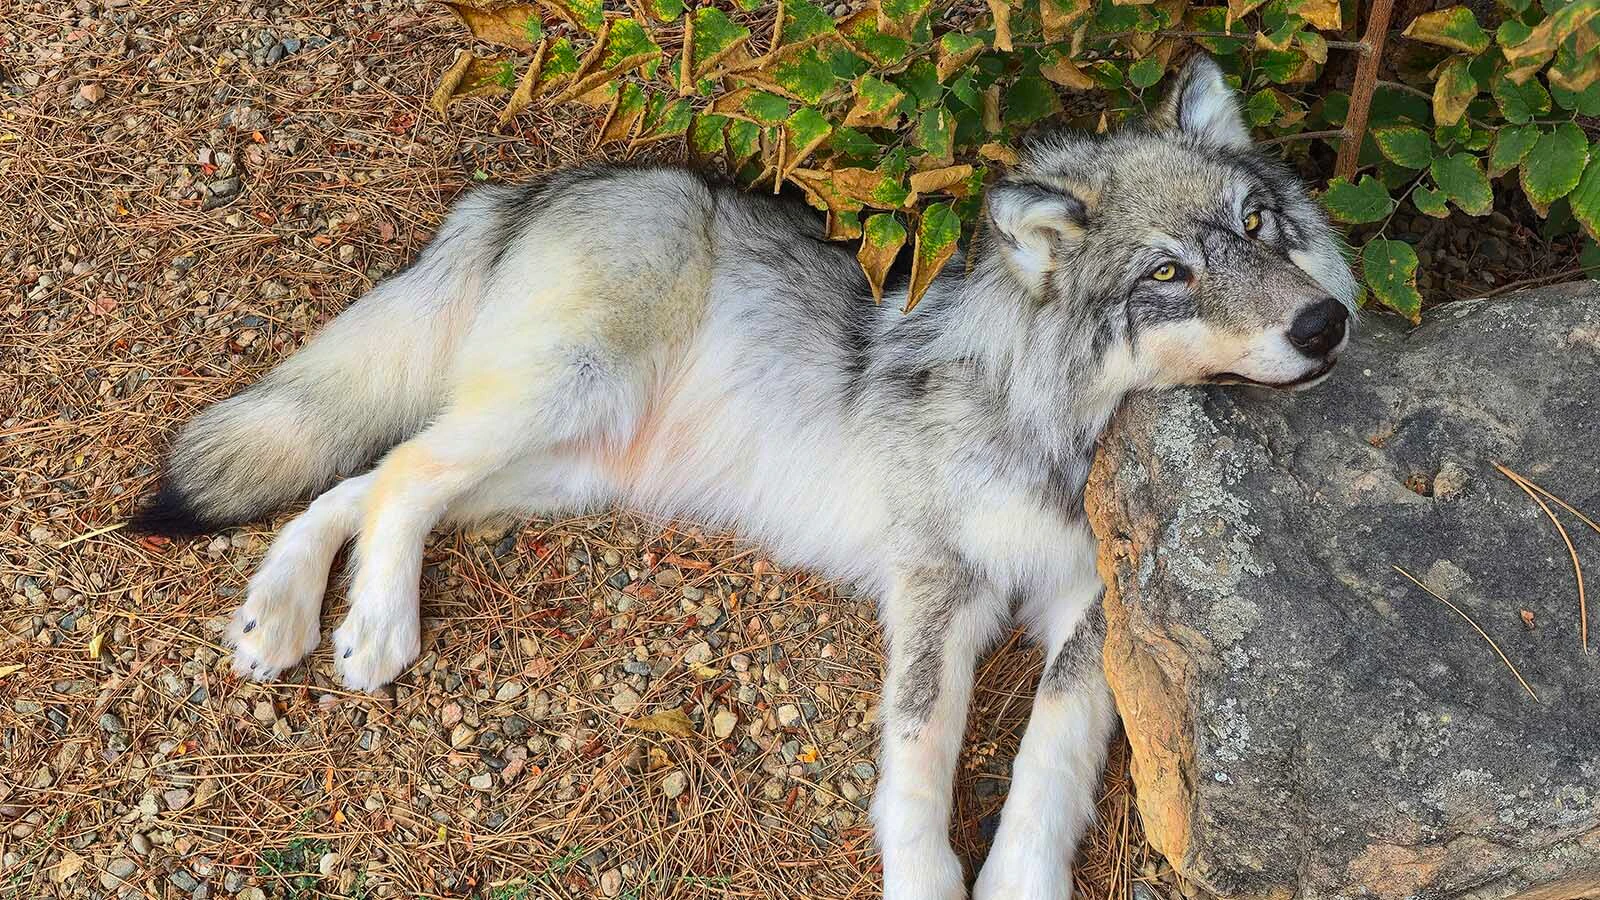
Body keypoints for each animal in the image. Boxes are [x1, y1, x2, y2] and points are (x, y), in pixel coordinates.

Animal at [131, 55, 1356, 900]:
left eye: (1259, 224)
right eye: (1168, 274)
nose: (1326, 324)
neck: (1051, 422)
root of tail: (537, 185)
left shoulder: (1099, 612)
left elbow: (1048, 758)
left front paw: (1019, 883)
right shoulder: (937, 591)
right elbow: (921, 762)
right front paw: (926, 882)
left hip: (560, 469)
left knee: (362, 481)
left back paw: (282, 618)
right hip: (551, 406)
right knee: (398, 472)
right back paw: (374, 629)